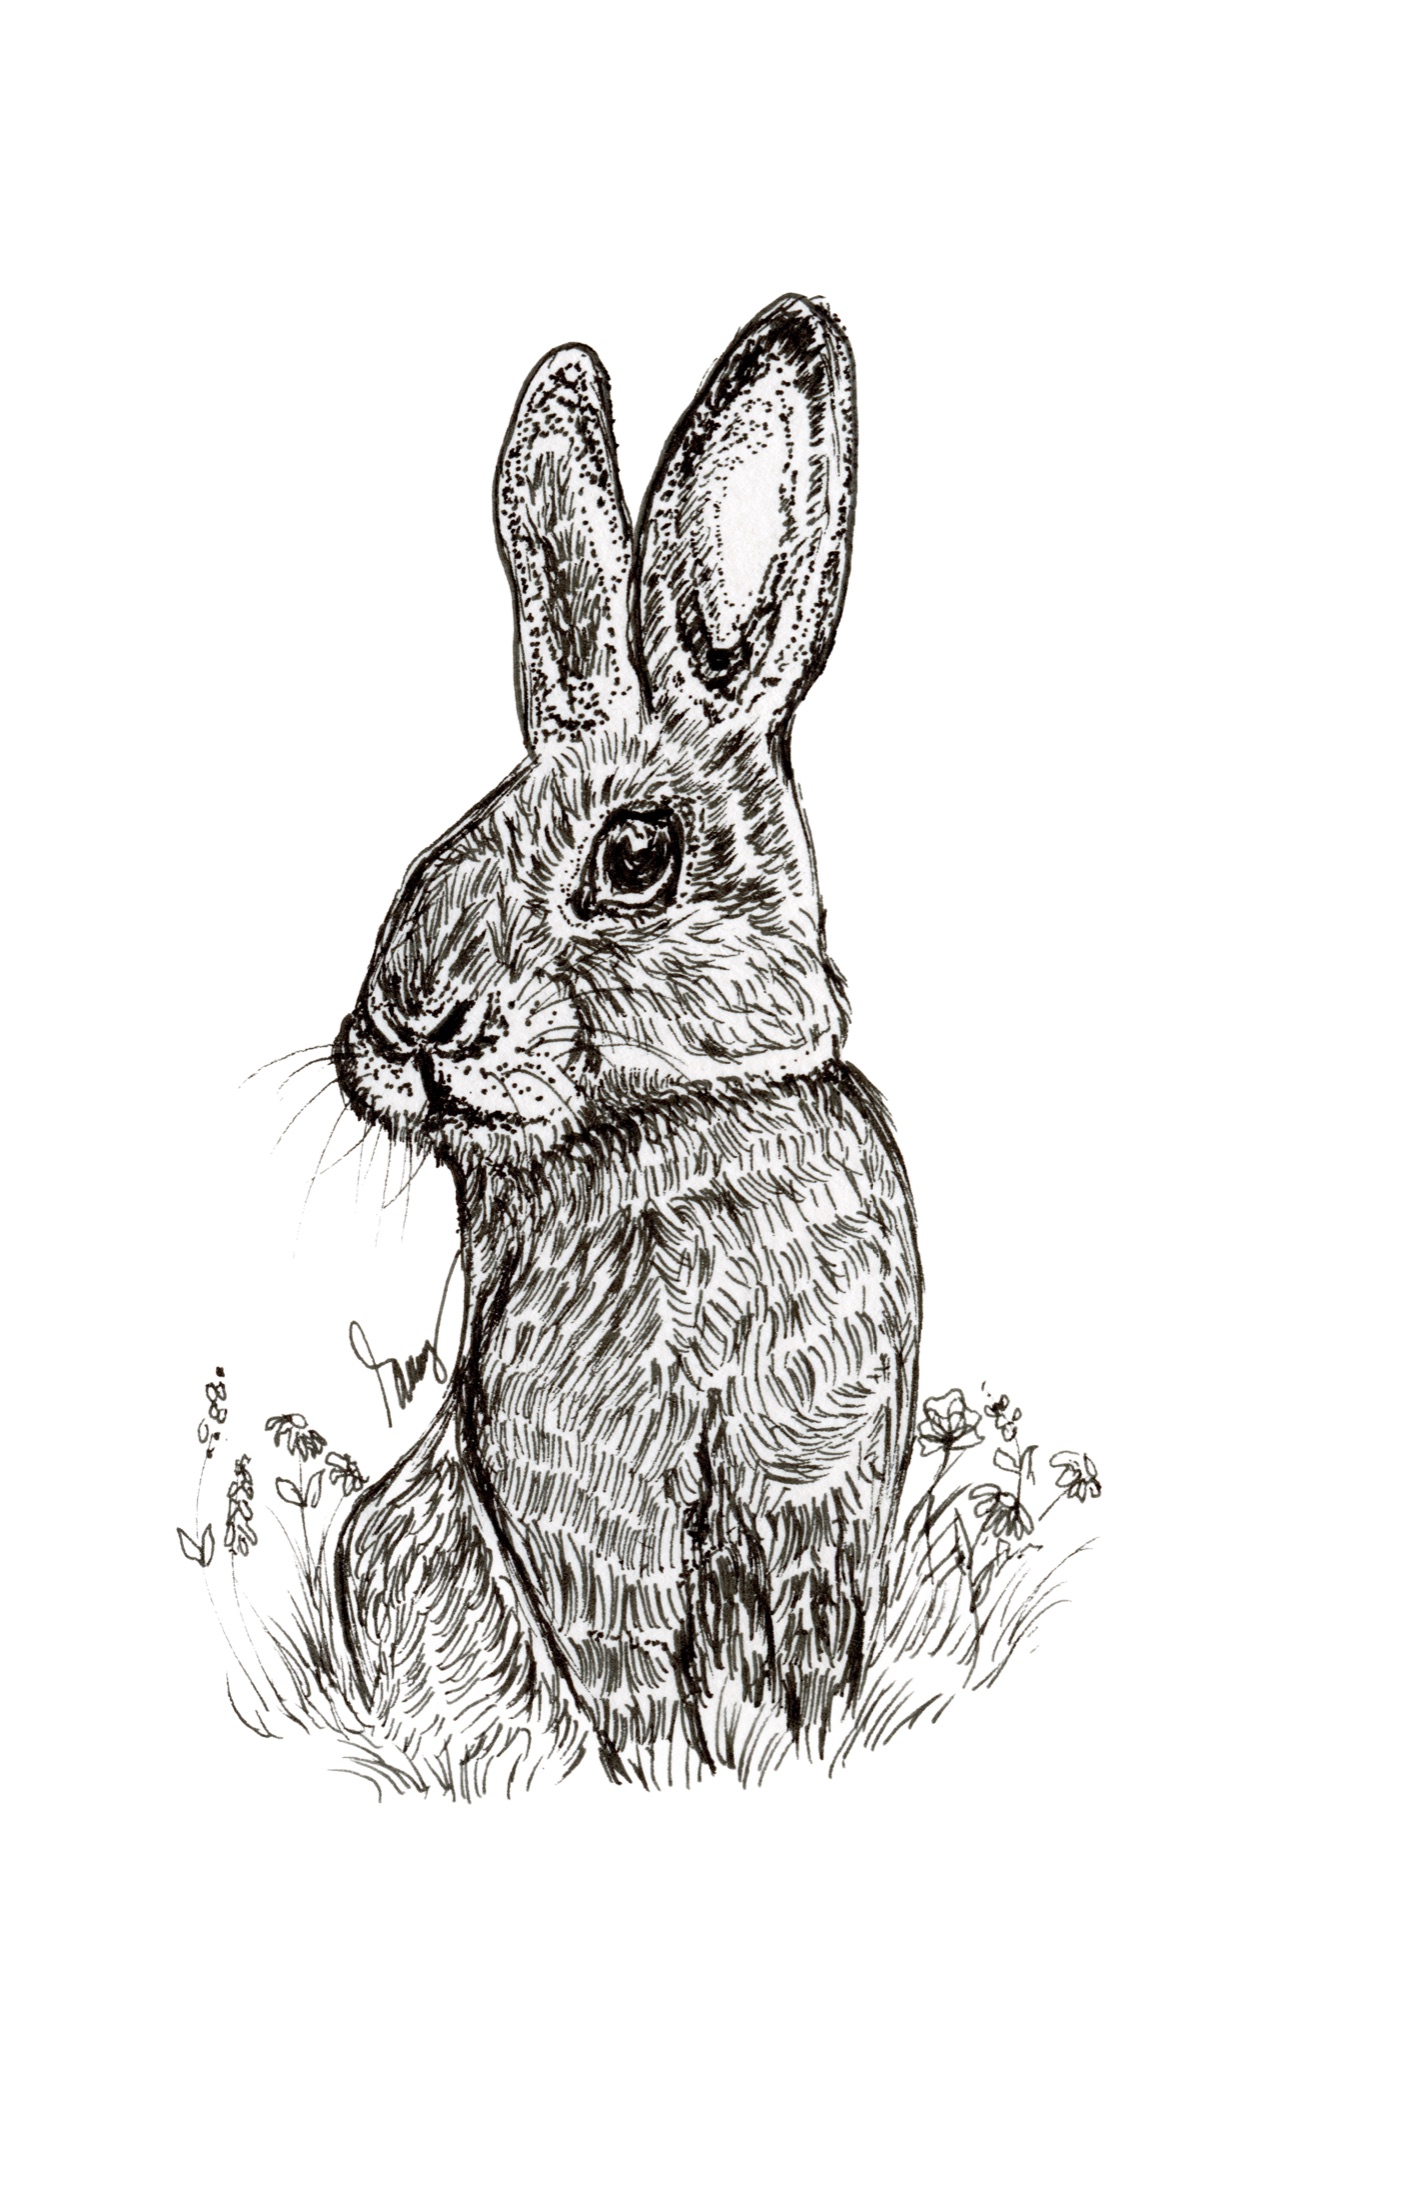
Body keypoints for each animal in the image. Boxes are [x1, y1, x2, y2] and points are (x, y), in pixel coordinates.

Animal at [330, 295, 921, 1789]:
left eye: (636, 856)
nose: (411, 1024)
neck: (674, 1124)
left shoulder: (822, 1491)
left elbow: (811, 1668)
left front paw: (798, 1760)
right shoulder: (586, 1515)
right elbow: (634, 1685)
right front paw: (674, 1784)